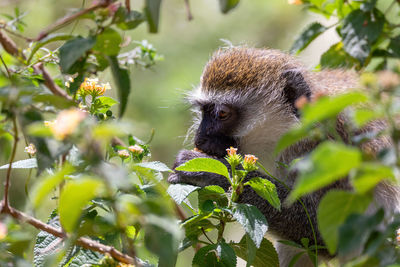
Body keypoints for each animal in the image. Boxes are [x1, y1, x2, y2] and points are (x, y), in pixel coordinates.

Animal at [167, 47, 400, 266]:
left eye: (222, 114)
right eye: (204, 111)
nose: (199, 139)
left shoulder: (331, 149)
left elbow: (329, 237)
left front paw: (210, 173)